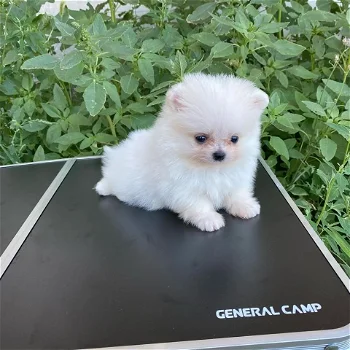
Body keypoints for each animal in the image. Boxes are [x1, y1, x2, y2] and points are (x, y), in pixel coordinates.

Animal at [97, 73, 270, 232]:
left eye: (234, 139)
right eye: (201, 138)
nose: (219, 155)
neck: (212, 168)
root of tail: (115, 156)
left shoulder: (235, 179)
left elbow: (237, 193)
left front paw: (245, 206)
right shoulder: (183, 187)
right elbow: (198, 203)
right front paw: (208, 219)